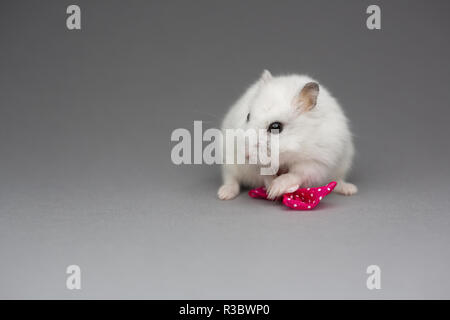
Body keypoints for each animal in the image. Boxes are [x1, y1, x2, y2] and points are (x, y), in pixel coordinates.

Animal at [218, 70, 358, 200]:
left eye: (276, 126)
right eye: (247, 116)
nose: (245, 155)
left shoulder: (315, 163)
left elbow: (295, 174)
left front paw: (274, 190)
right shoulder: (253, 166)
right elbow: (264, 174)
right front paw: (270, 191)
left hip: (343, 165)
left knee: (338, 180)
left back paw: (350, 190)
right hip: (230, 162)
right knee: (231, 178)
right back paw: (224, 194)